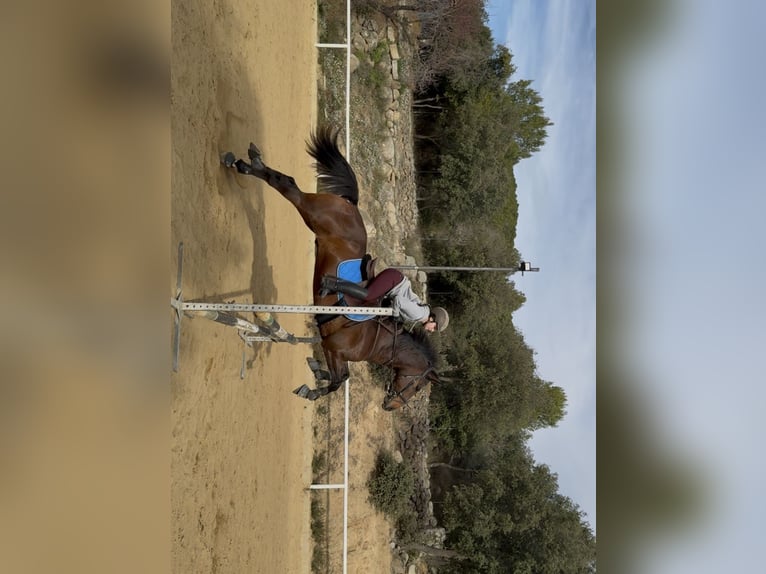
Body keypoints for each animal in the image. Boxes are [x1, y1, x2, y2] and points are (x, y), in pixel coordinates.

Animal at [221, 126, 439, 410]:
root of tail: (353, 205)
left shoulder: (334, 352)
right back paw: (249, 165)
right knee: (289, 185)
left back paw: (246, 164)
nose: (390, 406)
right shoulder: (334, 349)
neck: (379, 344)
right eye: (418, 386)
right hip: (313, 214)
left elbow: (341, 377)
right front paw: (310, 389)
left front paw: (315, 372)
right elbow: (338, 381)